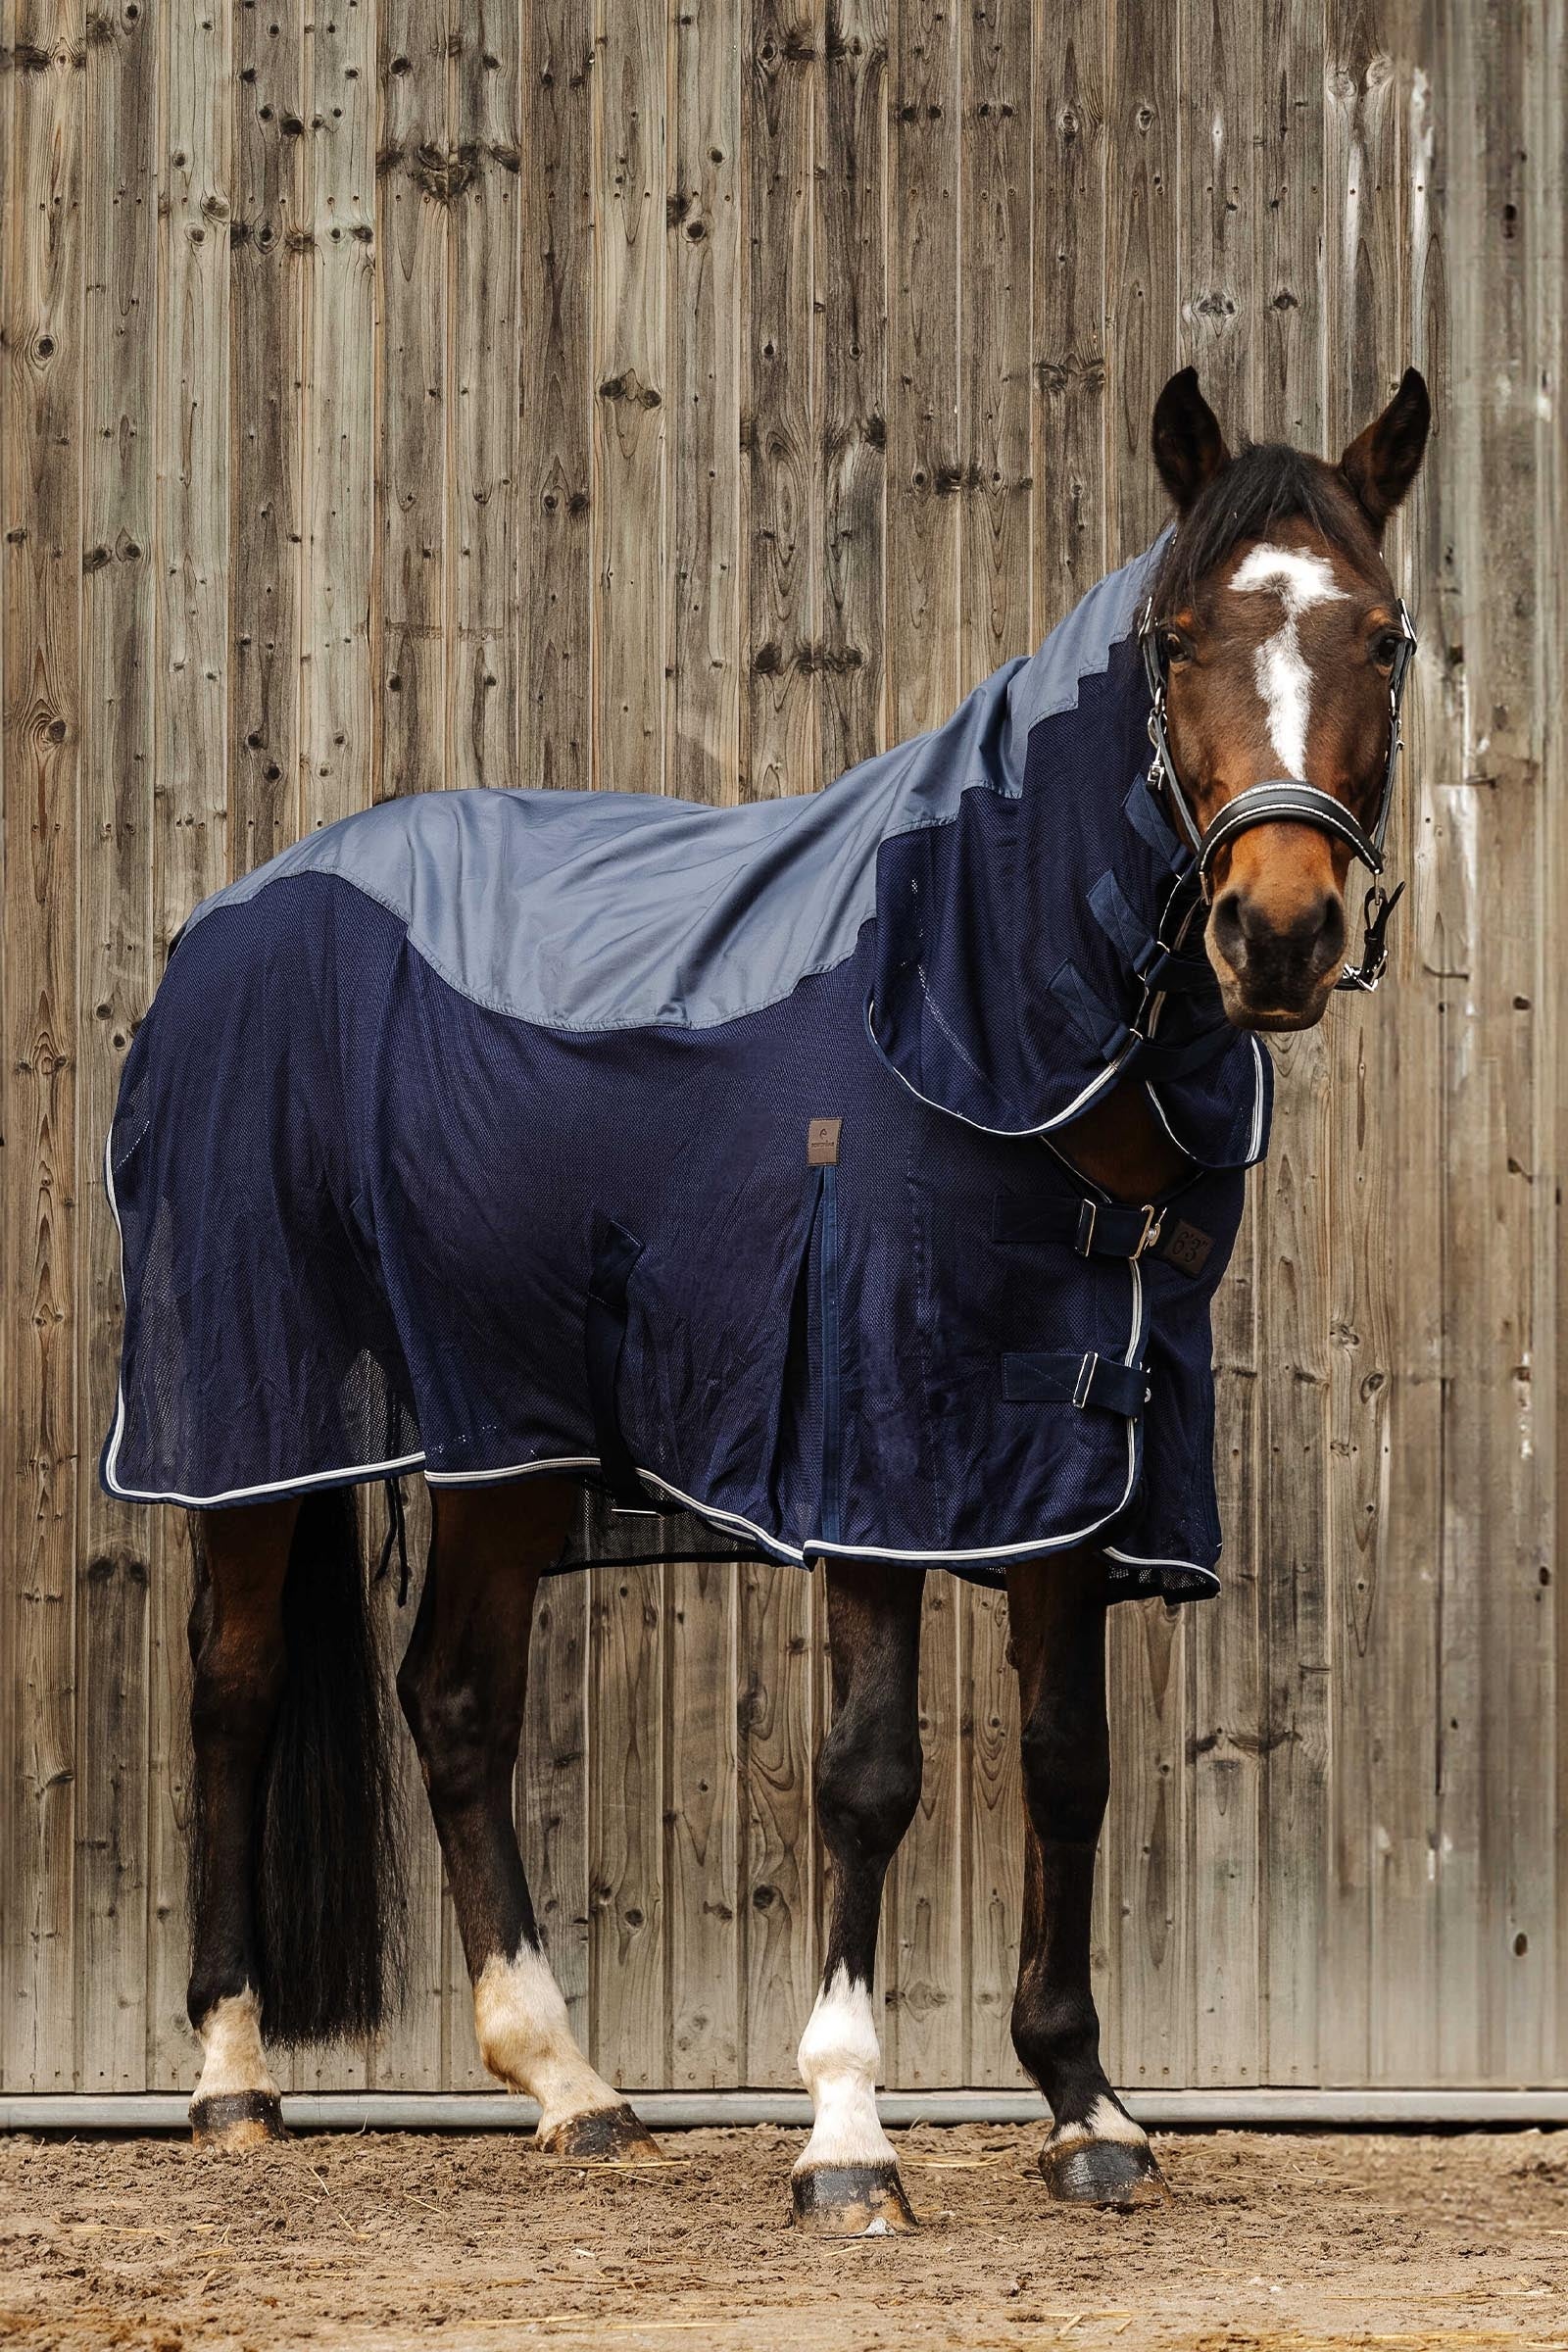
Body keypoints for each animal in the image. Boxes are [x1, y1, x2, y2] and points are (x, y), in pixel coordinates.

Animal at [102, 363, 1429, 2231]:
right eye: (1177, 640)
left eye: (1382, 639)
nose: (1282, 933)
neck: (968, 998)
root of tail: (224, 923)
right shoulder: (873, 1431)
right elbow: (871, 1775)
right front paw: (848, 2139)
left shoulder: (1075, 1445)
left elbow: (1068, 1765)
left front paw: (1086, 2112)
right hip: (257, 1406)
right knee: (232, 1695)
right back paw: (232, 2081)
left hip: (510, 1434)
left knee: (456, 1708)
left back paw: (570, 2086)